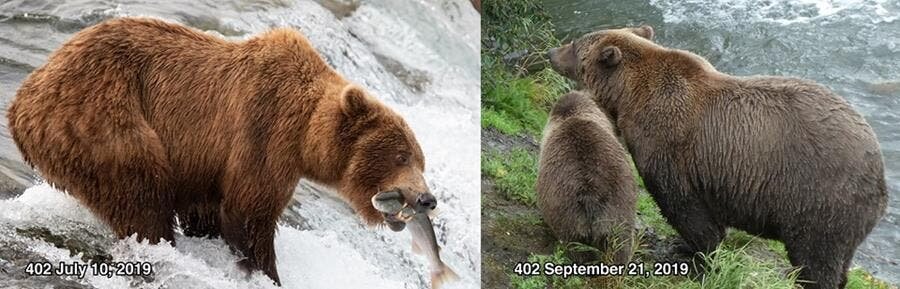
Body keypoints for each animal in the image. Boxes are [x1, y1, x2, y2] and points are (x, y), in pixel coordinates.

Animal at [8, 16, 438, 284]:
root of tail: (22, 99)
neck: (305, 134)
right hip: (102, 117)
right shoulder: (263, 132)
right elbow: (249, 213)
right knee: (140, 195)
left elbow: (209, 211)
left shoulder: (205, 163)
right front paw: (266, 273)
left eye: (421, 159)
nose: (427, 199)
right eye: (401, 155)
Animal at [548, 25, 884, 286]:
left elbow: (683, 205)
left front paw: (697, 256)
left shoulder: (669, 142)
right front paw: (688, 248)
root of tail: (879, 169)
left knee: (816, 260)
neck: (628, 95)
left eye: (575, 45)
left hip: (819, 199)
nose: (551, 51)